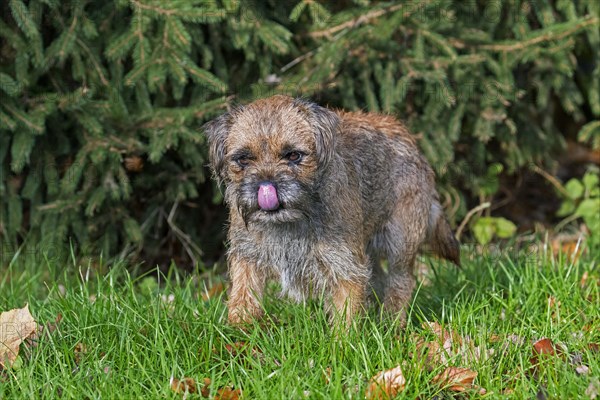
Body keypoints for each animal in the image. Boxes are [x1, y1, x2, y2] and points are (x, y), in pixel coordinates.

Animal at [203, 95, 460, 326]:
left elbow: (345, 314)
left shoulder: (345, 266)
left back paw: (391, 324)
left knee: (401, 282)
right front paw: (239, 331)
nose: (266, 185)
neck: (291, 222)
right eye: (244, 159)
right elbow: (243, 294)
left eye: (293, 155)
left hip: (400, 242)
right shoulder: (247, 254)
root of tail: (413, 144)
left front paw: (343, 343)